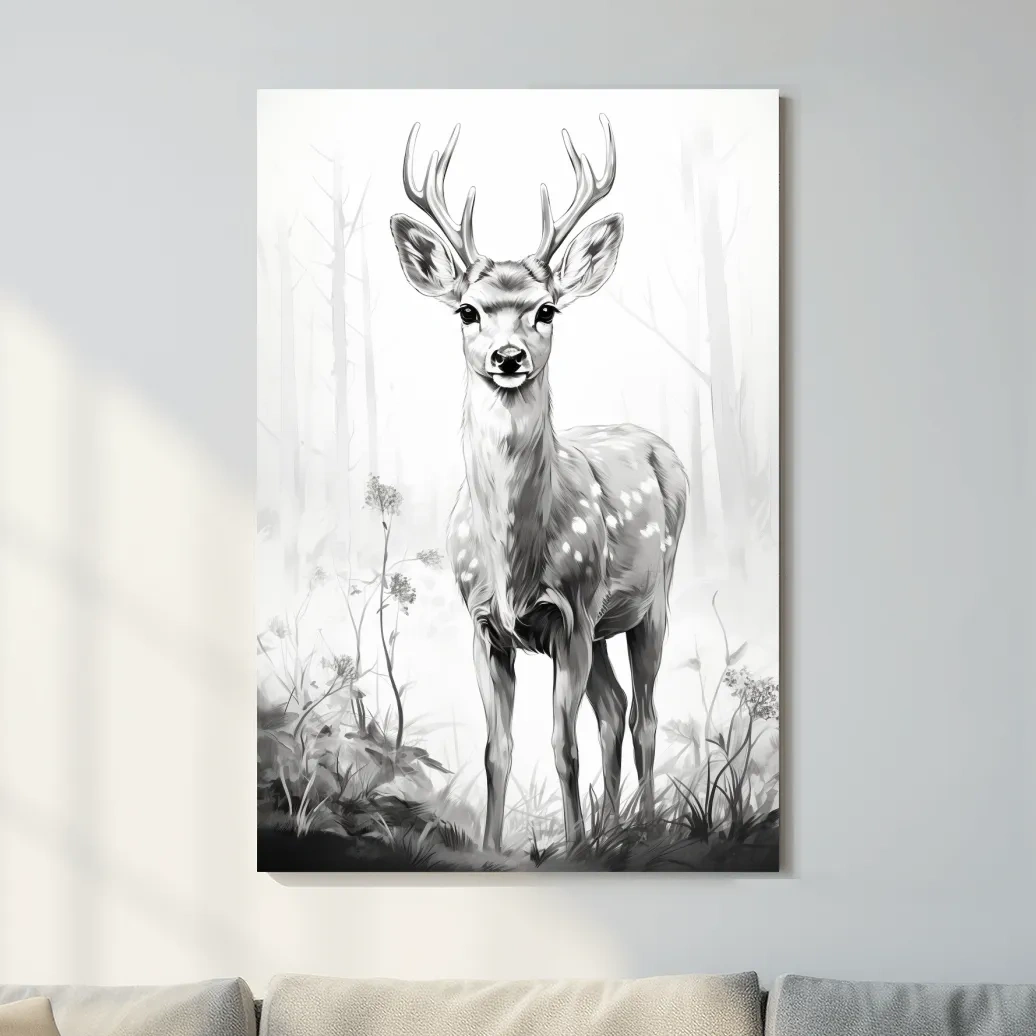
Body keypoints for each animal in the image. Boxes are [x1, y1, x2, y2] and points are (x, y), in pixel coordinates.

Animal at [389, 115, 687, 852]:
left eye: (547, 309)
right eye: (466, 311)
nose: (508, 356)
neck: (513, 565)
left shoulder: (572, 614)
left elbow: (562, 745)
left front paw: (574, 849)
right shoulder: (484, 626)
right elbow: (497, 751)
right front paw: (493, 851)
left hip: (653, 599)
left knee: (643, 714)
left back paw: (639, 831)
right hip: (606, 625)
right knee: (613, 707)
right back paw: (613, 829)